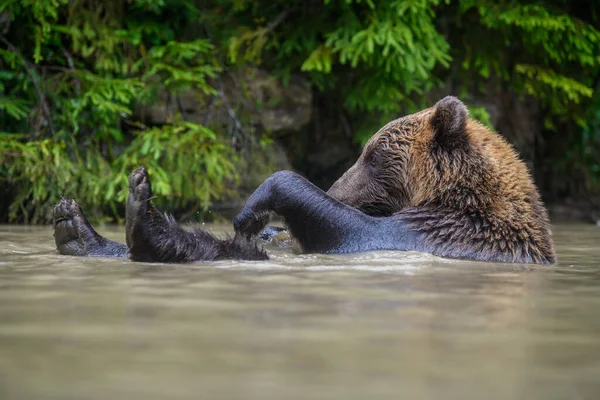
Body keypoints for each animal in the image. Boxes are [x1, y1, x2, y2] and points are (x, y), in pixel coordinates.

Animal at [236, 95, 556, 264]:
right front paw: (268, 230)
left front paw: (252, 212)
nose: (336, 191)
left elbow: (358, 232)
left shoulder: (447, 232)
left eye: (371, 157)